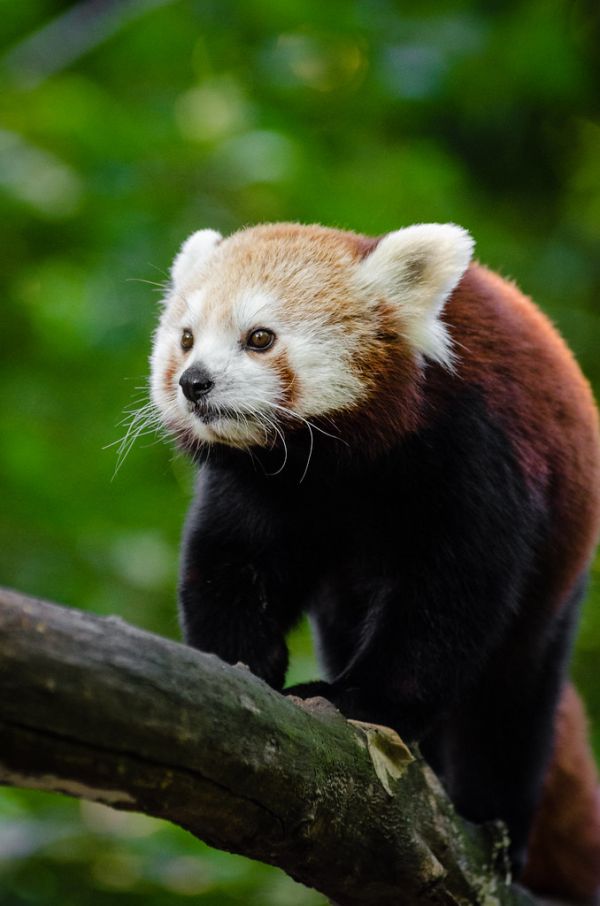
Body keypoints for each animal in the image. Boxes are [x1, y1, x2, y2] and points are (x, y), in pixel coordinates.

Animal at [150, 222, 600, 900]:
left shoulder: (473, 452)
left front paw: (360, 701)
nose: (194, 382)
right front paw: (239, 664)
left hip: (560, 577)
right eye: (185, 338)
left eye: (260, 337)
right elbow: (229, 563)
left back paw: (496, 827)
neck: (334, 468)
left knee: (513, 698)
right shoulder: (257, 485)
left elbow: (447, 604)